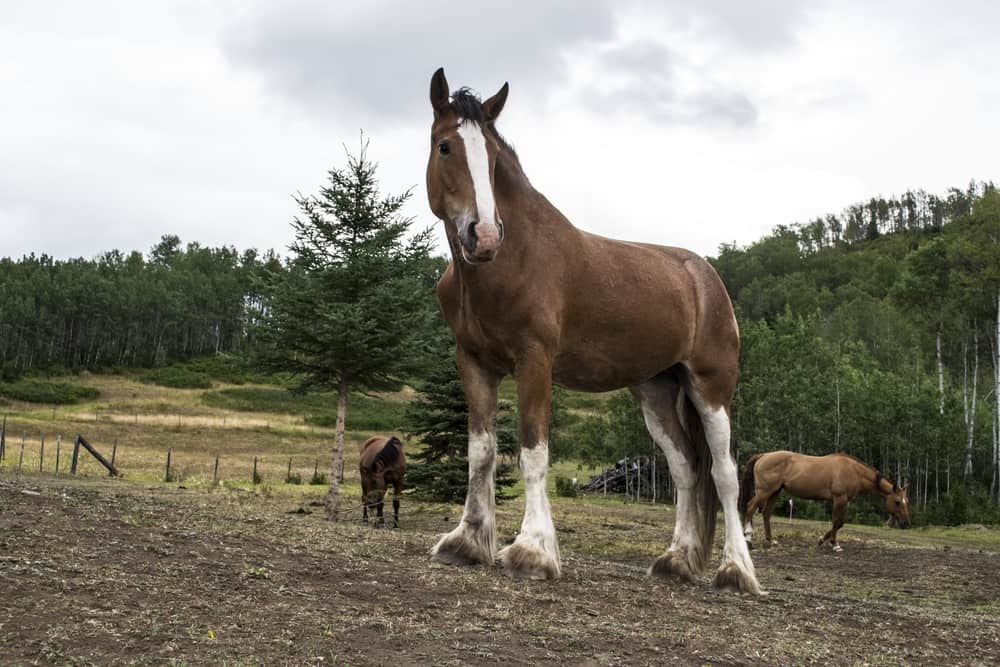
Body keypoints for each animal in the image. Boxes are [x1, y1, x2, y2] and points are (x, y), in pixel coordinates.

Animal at [424, 68, 761, 593]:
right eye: (444, 146)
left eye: (493, 158)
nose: (484, 234)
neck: (511, 260)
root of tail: (706, 278)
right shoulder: (473, 362)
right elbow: (481, 451)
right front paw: (466, 541)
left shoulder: (535, 361)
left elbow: (533, 453)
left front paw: (531, 551)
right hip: (656, 391)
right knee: (686, 469)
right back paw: (677, 561)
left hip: (711, 387)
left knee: (724, 473)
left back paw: (736, 571)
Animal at [739, 451, 910, 552]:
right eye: (897, 502)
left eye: (905, 501)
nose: (906, 523)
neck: (854, 471)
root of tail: (763, 456)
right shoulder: (839, 499)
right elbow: (835, 522)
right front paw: (835, 544)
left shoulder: (845, 501)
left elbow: (840, 523)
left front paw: (821, 540)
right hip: (764, 491)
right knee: (750, 507)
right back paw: (748, 539)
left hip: (775, 491)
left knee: (766, 513)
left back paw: (771, 540)